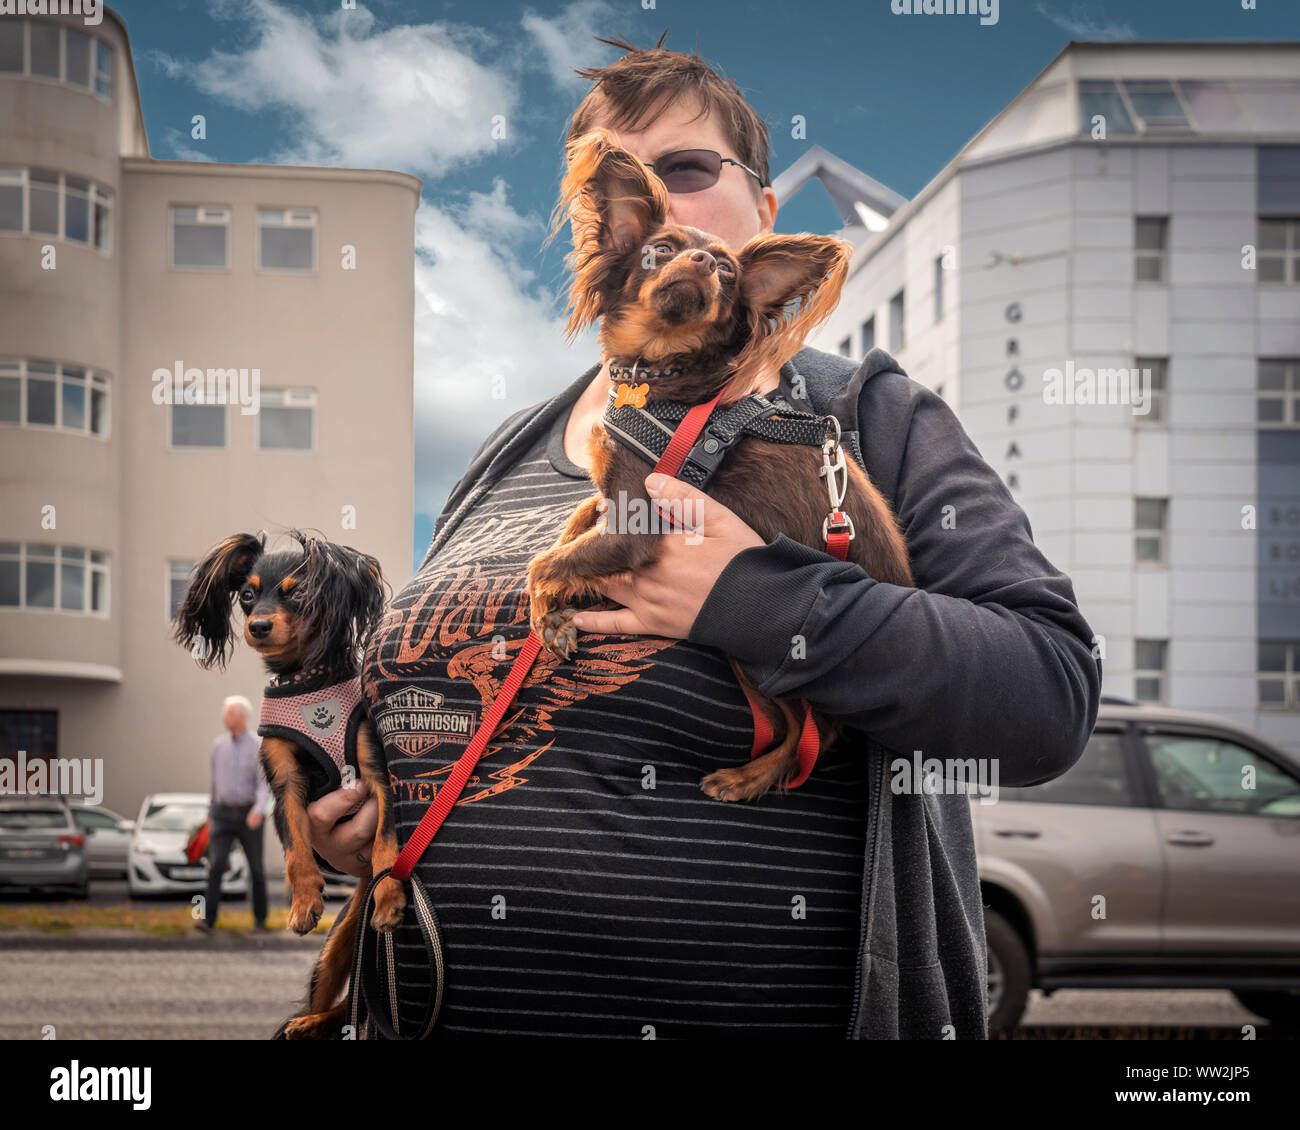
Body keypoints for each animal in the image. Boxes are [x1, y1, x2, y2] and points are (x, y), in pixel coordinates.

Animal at [172, 530, 403, 1040]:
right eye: (246, 595)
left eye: (298, 594)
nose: (258, 625)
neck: (306, 682)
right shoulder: (283, 784)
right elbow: (297, 846)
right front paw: (303, 902)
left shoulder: (377, 777)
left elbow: (385, 844)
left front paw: (391, 897)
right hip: (333, 950)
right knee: (343, 999)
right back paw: (310, 1022)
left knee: (356, 1001)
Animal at [525, 130, 915, 801]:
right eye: (659, 251)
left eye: (729, 270)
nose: (707, 265)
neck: (661, 374)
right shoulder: (617, 491)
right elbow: (576, 519)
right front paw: (557, 603)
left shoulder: (635, 524)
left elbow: (542, 564)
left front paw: (544, 614)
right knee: (794, 725)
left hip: (763, 648)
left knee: (816, 731)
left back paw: (749, 778)